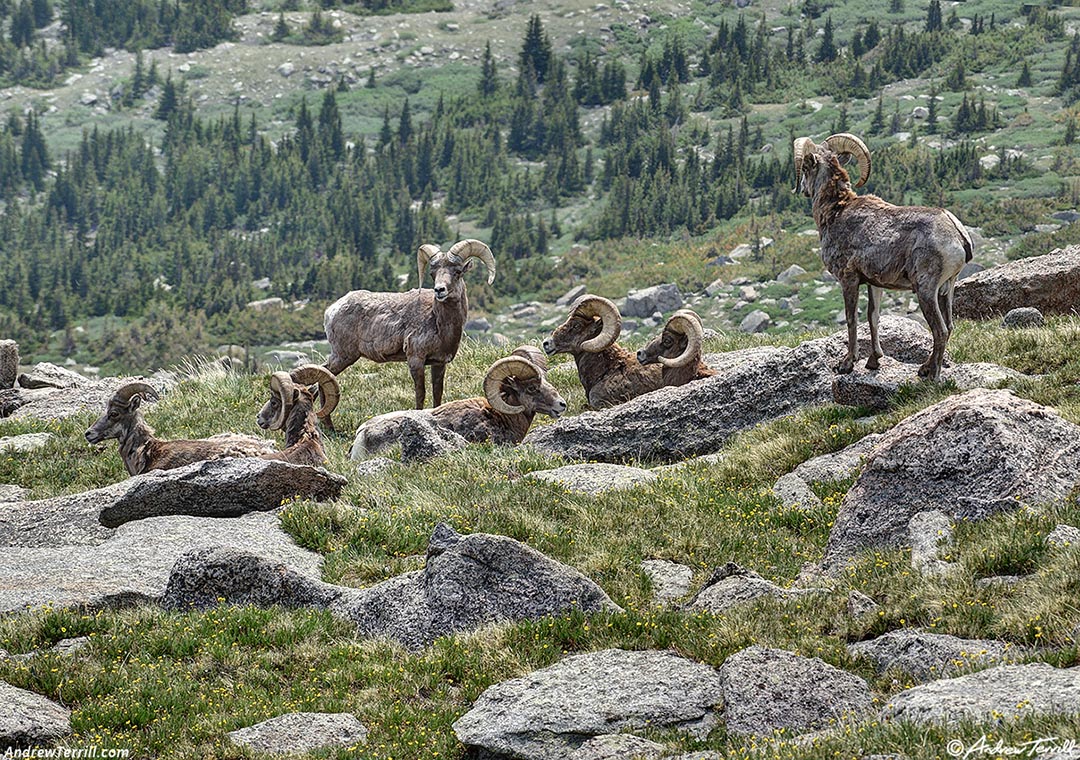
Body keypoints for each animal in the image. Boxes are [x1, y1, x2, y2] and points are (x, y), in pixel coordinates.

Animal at [322, 239, 496, 422]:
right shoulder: (415, 359)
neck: (438, 322)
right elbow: (420, 394)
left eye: (457, 272)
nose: (439, 290)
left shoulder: (439, 363)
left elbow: (437, 394)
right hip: (343, 356)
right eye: (432, 274)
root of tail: (331, 311)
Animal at [793, 132, 973, 380]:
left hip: (926, 291)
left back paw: (933, 376)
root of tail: (957, 234)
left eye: (805, 168)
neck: (836, 211)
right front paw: (874, 361)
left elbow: (851, 319)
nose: (802, 189)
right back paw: (925, 368)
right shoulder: (874, 283)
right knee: (950, 326)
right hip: (947, 289)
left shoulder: (848, 280)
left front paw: (847, 364)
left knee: (941, 330)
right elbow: (873, 317)